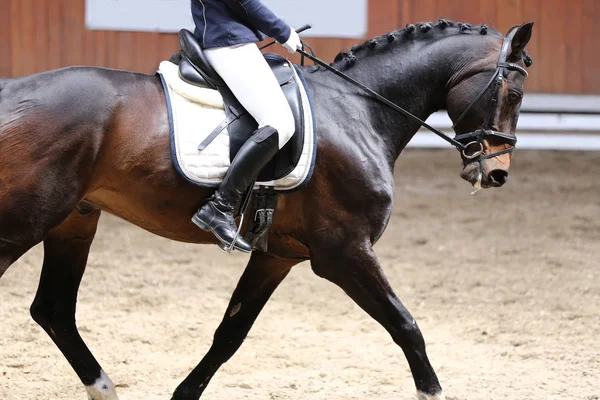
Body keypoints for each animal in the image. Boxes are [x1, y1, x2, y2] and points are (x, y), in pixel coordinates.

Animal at [0, 20, 536, 400]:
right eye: (513, 93)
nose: (496, 173)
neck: (358, 110)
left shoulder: (278, 255)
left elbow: (230, 334)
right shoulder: (344, 252)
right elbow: (407, 327)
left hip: (72, 221)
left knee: (53, 309)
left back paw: (104, 389)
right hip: (24, 222)